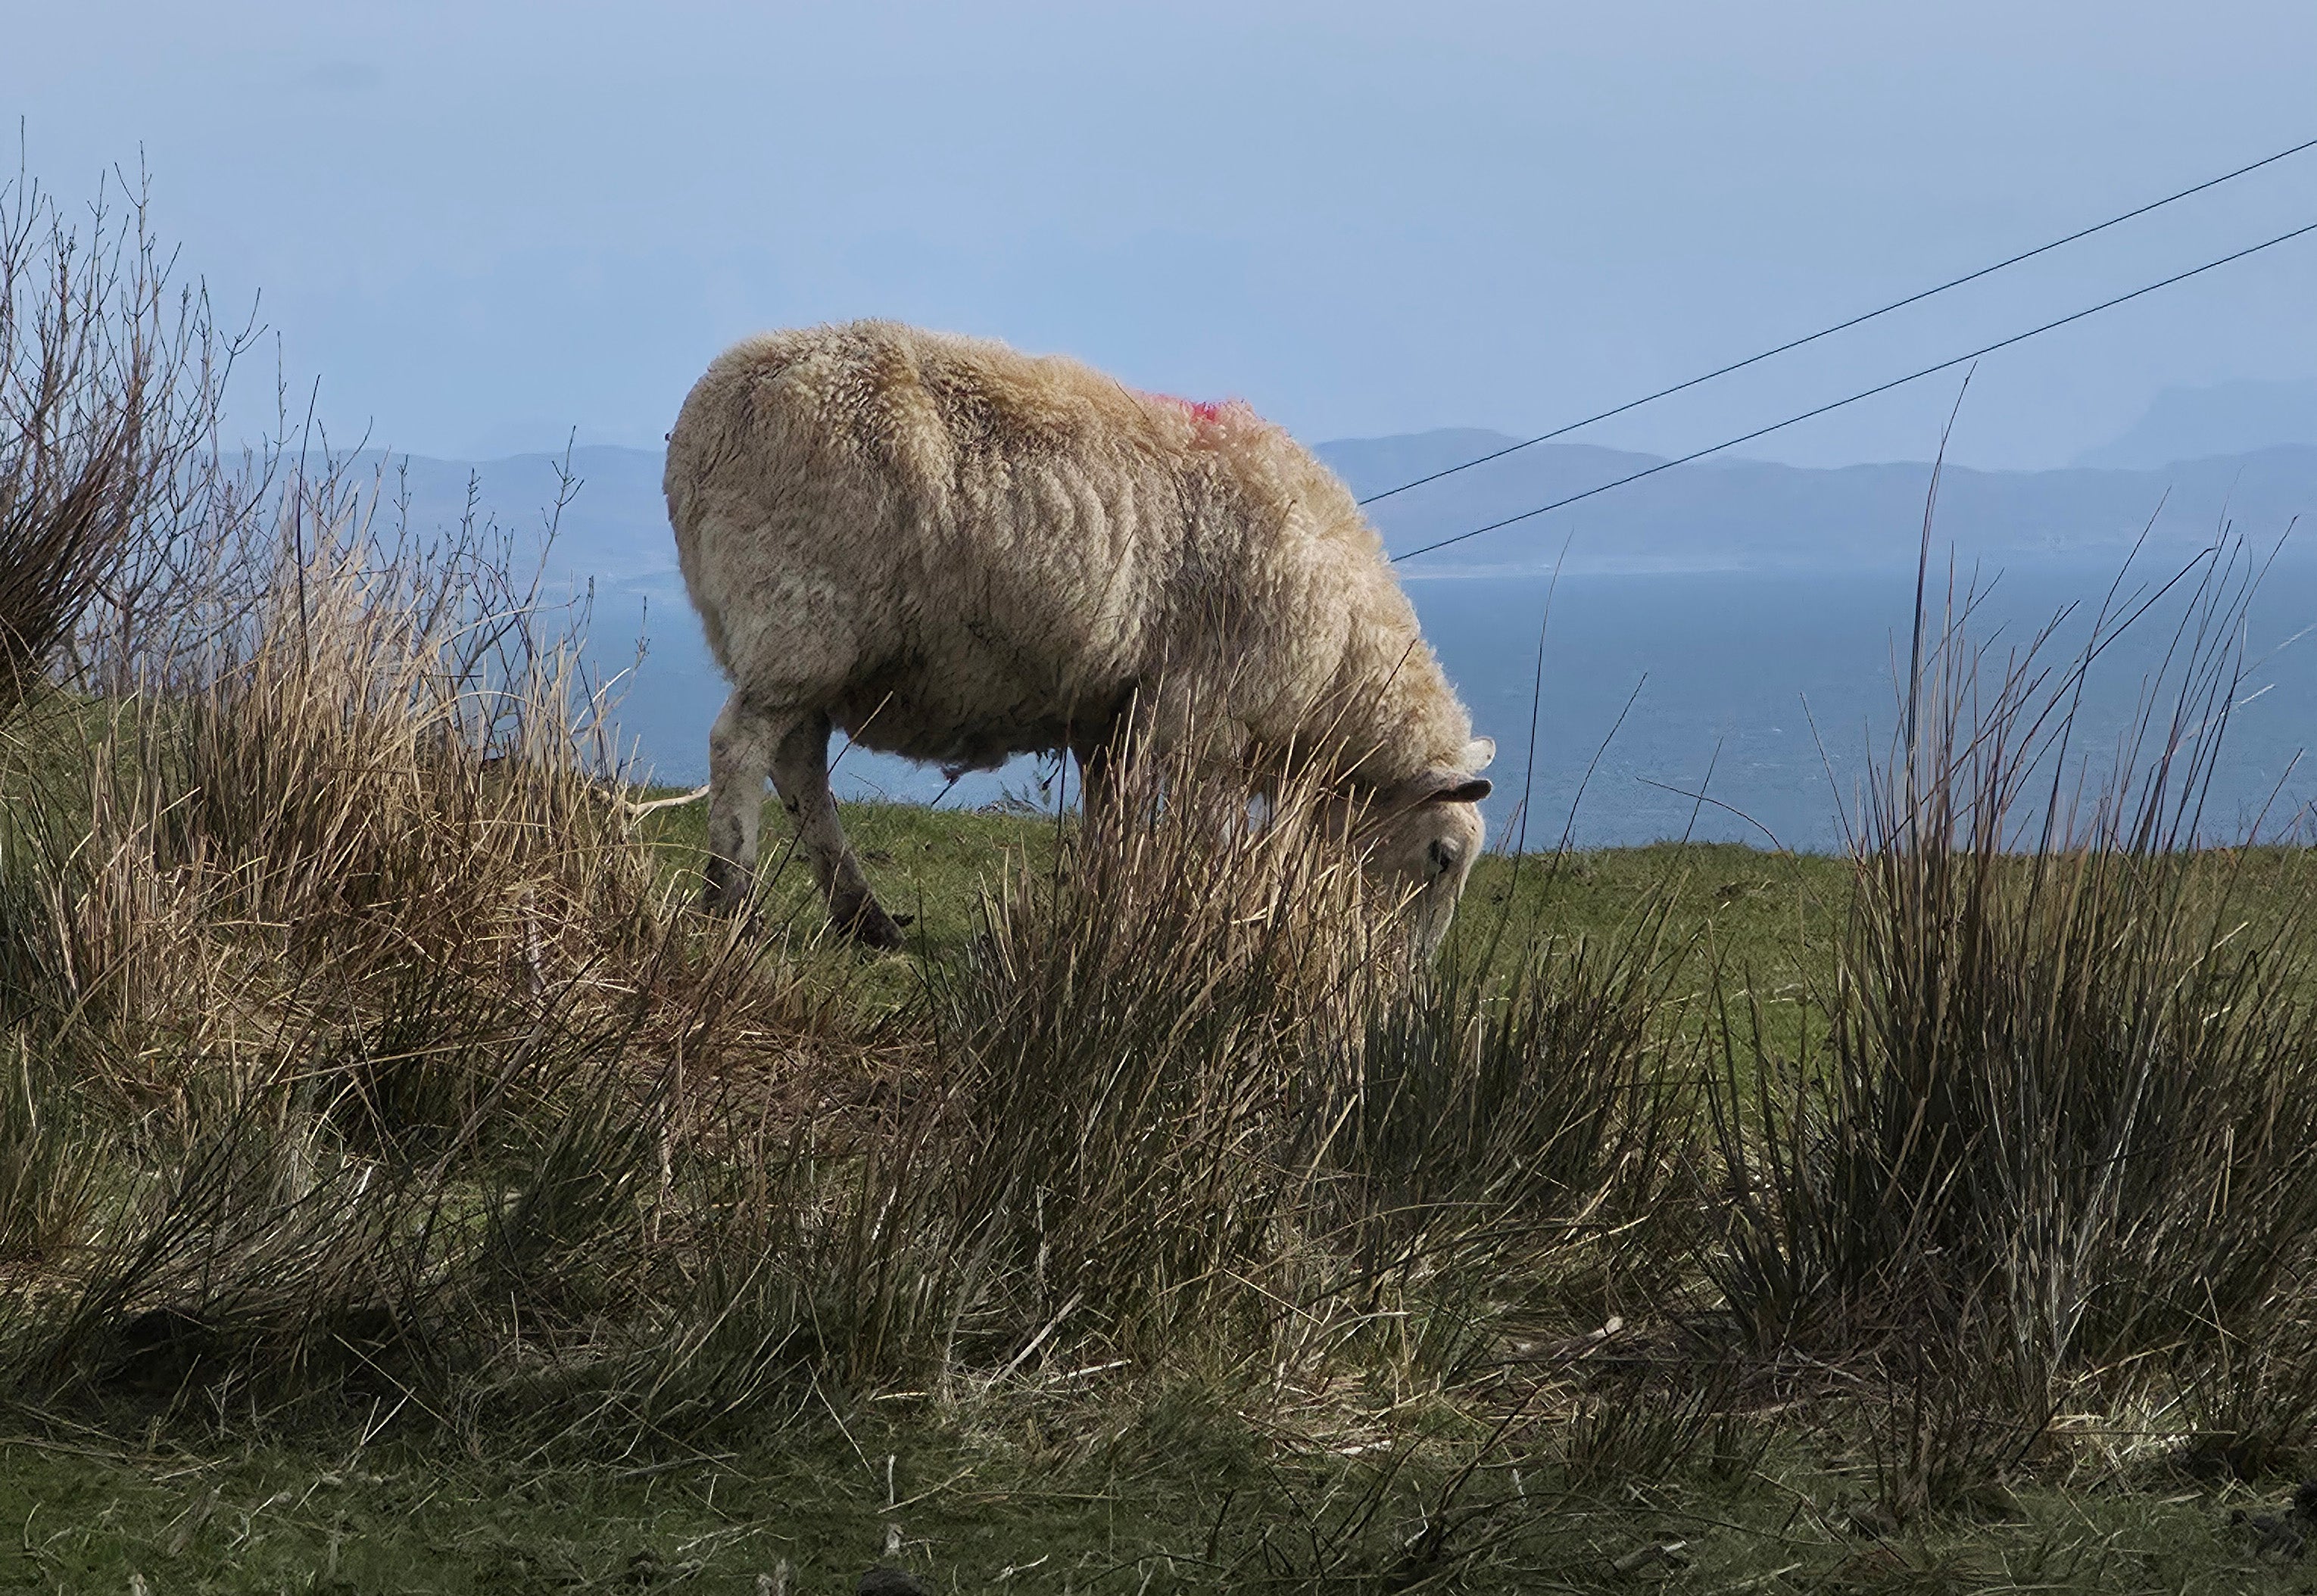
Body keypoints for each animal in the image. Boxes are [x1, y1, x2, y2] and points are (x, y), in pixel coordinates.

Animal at [663, 319, 1495, 954]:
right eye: (1442, 855)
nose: (1406, 976)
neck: (1343, 667)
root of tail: (706, 414)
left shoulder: (1114, 714)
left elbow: (1112, 821)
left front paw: (1101, 919)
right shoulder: (1204, 715)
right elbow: (1195, 834)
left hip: (797, 637)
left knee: (798, 762)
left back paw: (864, 920)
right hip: (802, 612)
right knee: (743, 746)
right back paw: (732, 902)